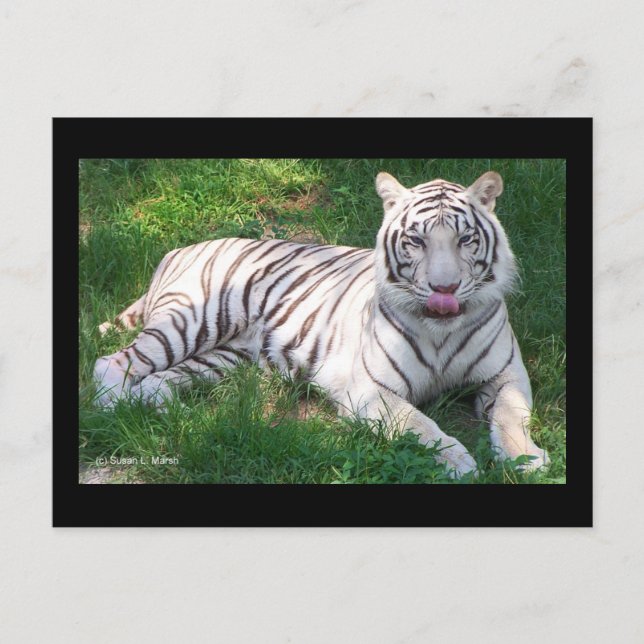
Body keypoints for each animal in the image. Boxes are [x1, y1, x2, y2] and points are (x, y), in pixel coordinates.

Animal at [93, 170, 549, 477]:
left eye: (465, 240)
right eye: (416, 241)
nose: (445, 289)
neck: (442, 330)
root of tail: (177, 249)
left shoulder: (507, 373)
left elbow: (511, 415)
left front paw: (527, 459)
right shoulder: (369, 389)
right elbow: (422, 425)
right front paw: (460, 463)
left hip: (221, 358)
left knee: (155, 381)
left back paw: (165, 410)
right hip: (192, 321)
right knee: (112, 364)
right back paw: (114, 410)